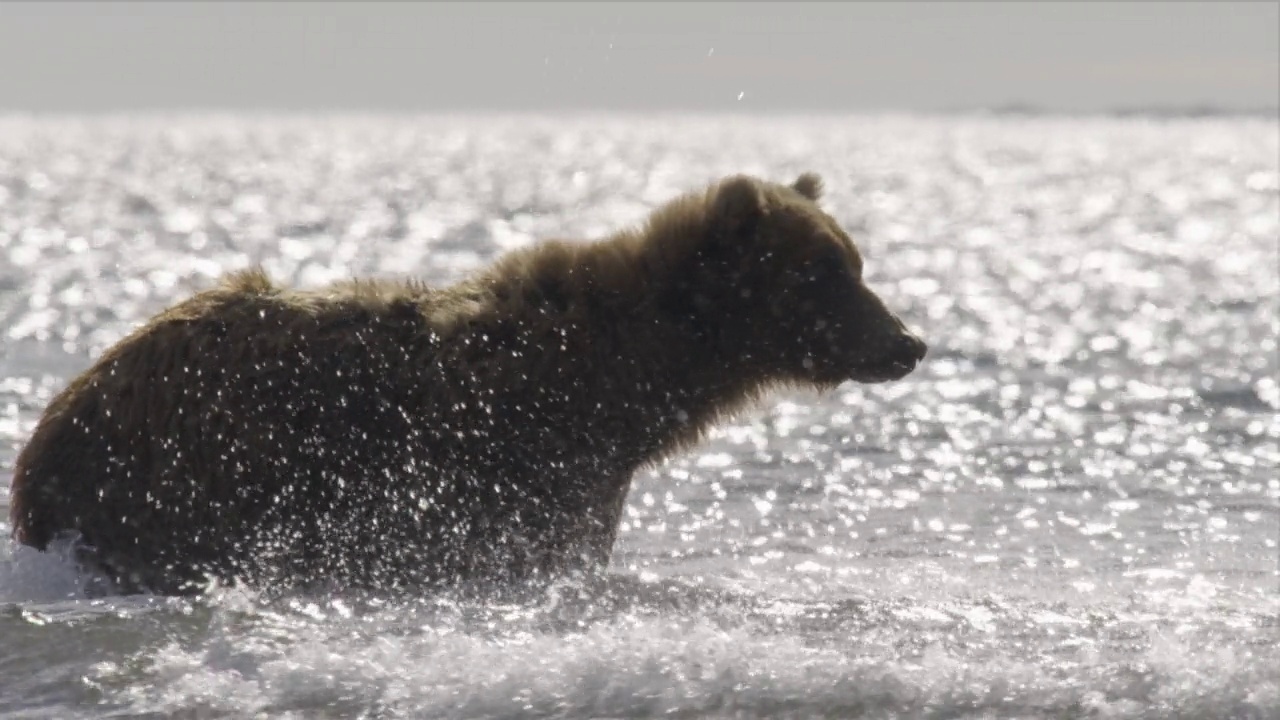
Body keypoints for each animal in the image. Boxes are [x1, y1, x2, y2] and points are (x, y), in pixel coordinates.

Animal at [5, 174, 926, 594]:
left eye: (853, 260)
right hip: (195, 473)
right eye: (823, 272)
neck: (632, 375)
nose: (908, 343)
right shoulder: (531, 461)